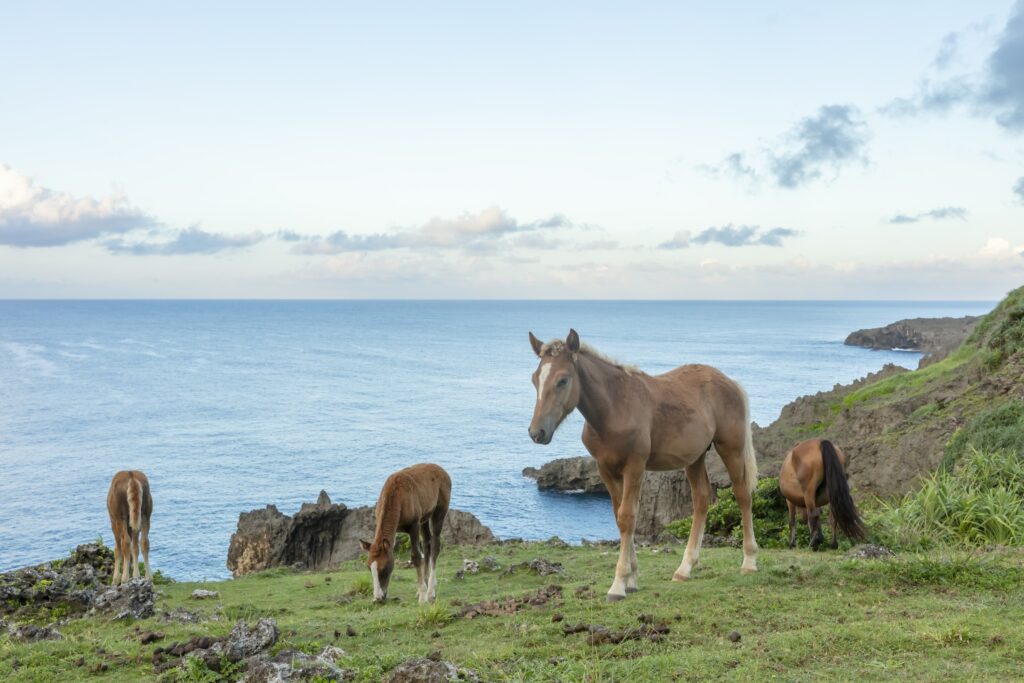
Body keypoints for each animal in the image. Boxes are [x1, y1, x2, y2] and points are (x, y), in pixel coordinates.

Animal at [364, 464, 452, 602]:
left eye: (385, 568)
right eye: (369, 567)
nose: (378, 598)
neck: (398, 498)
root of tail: (442, 471)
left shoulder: (414, 526)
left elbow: (416, 557)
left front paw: (422, 596)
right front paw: (420, 590)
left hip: (439, 512)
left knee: (435, 546)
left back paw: (430, 591)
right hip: (424, 518)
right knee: (427, 544)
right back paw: (426, 583)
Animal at [528, 327, 761, 602]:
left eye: (563, 380)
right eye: (535, 379)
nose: (537, 432)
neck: (615, 408)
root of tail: (730, 382)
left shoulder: (635, 466)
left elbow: (628, 517)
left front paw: (618, 585)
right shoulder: (605, 469)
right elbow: (618, 516)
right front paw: (632, 579)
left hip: (730, 447)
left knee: (742, 493)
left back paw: (749, 562)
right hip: (694, 457)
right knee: (701, 499)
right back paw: (684, 569)